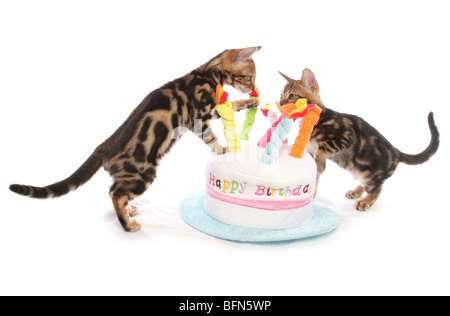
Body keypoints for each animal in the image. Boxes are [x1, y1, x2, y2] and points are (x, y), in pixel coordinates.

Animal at [10, 46, 262, 232]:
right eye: (249, 77)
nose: (253, 88)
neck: (206, 74)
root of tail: (103, 147)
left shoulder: (209, 111)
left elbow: (230, 105)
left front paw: (249, 103)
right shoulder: (199, 118)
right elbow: (213, 135)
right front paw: (223, 151)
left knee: (115, 190)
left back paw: (128, 212)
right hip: (144, 173)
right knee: (115, 193)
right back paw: (128, 225)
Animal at [278, 70, 440, 211]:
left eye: (292, 96)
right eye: (281, 95)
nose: (279, 103)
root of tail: (397, 152)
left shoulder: (346, 137)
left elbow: (322, 150)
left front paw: (320, 166)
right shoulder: (311, 151)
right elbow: (315, 176)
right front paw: (313, 192)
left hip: (371, 174)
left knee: (377, 189)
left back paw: (365, 201)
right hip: (357, 170)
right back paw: (356, 191)